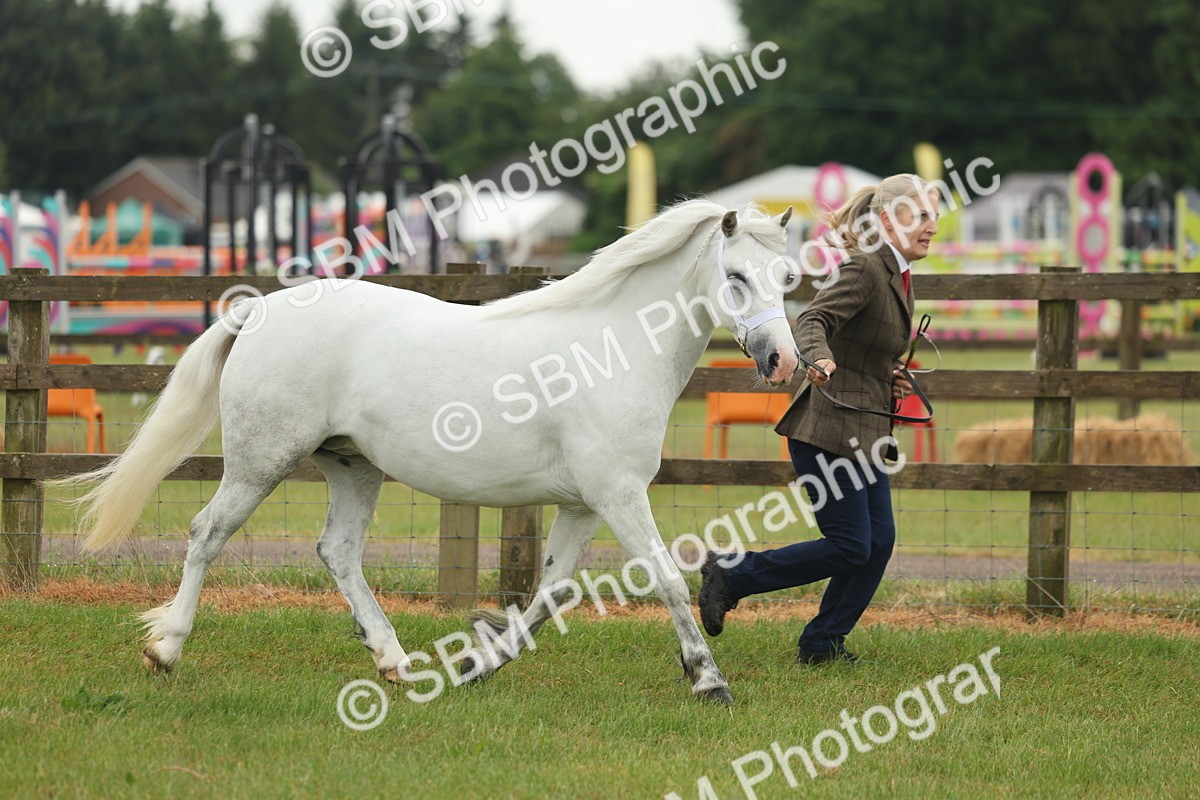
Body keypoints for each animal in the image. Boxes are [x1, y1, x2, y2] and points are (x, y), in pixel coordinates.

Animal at [60, 199, 800, 704]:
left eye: (787, 278)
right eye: (736, 276)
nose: (782, 362)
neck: (614, 349)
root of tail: (257, 312)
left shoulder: (585, 505)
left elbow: (549, 594)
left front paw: (476, 664)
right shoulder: (618, 495)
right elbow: (667, 579)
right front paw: (709, 680)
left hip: (353, 468)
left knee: (338, 552)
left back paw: (394, 661)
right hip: (258, 463)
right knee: (206, 534)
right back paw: (166, 649)